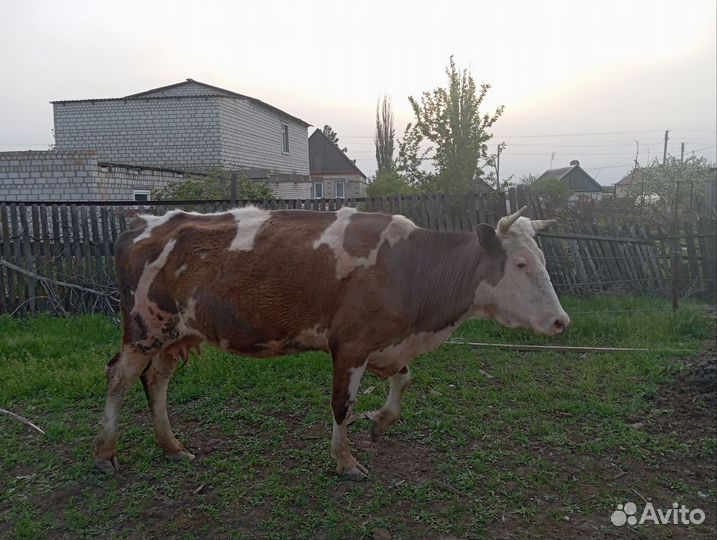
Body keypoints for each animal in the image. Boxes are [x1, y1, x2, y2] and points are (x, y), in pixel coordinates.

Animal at [94, 205, 569, 479]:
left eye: (543, 260)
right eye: (520, 263)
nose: (561, 321)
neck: (411, 269)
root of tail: (142, 224)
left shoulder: (385, 341)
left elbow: (403, 379)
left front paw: (381, 421)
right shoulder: (351, 344)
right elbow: (343, 404)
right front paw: (345, 461)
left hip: (175, 332)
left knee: (157, 381)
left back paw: (171, 446)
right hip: (144, 327)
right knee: (118, 378)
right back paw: (105, 452)